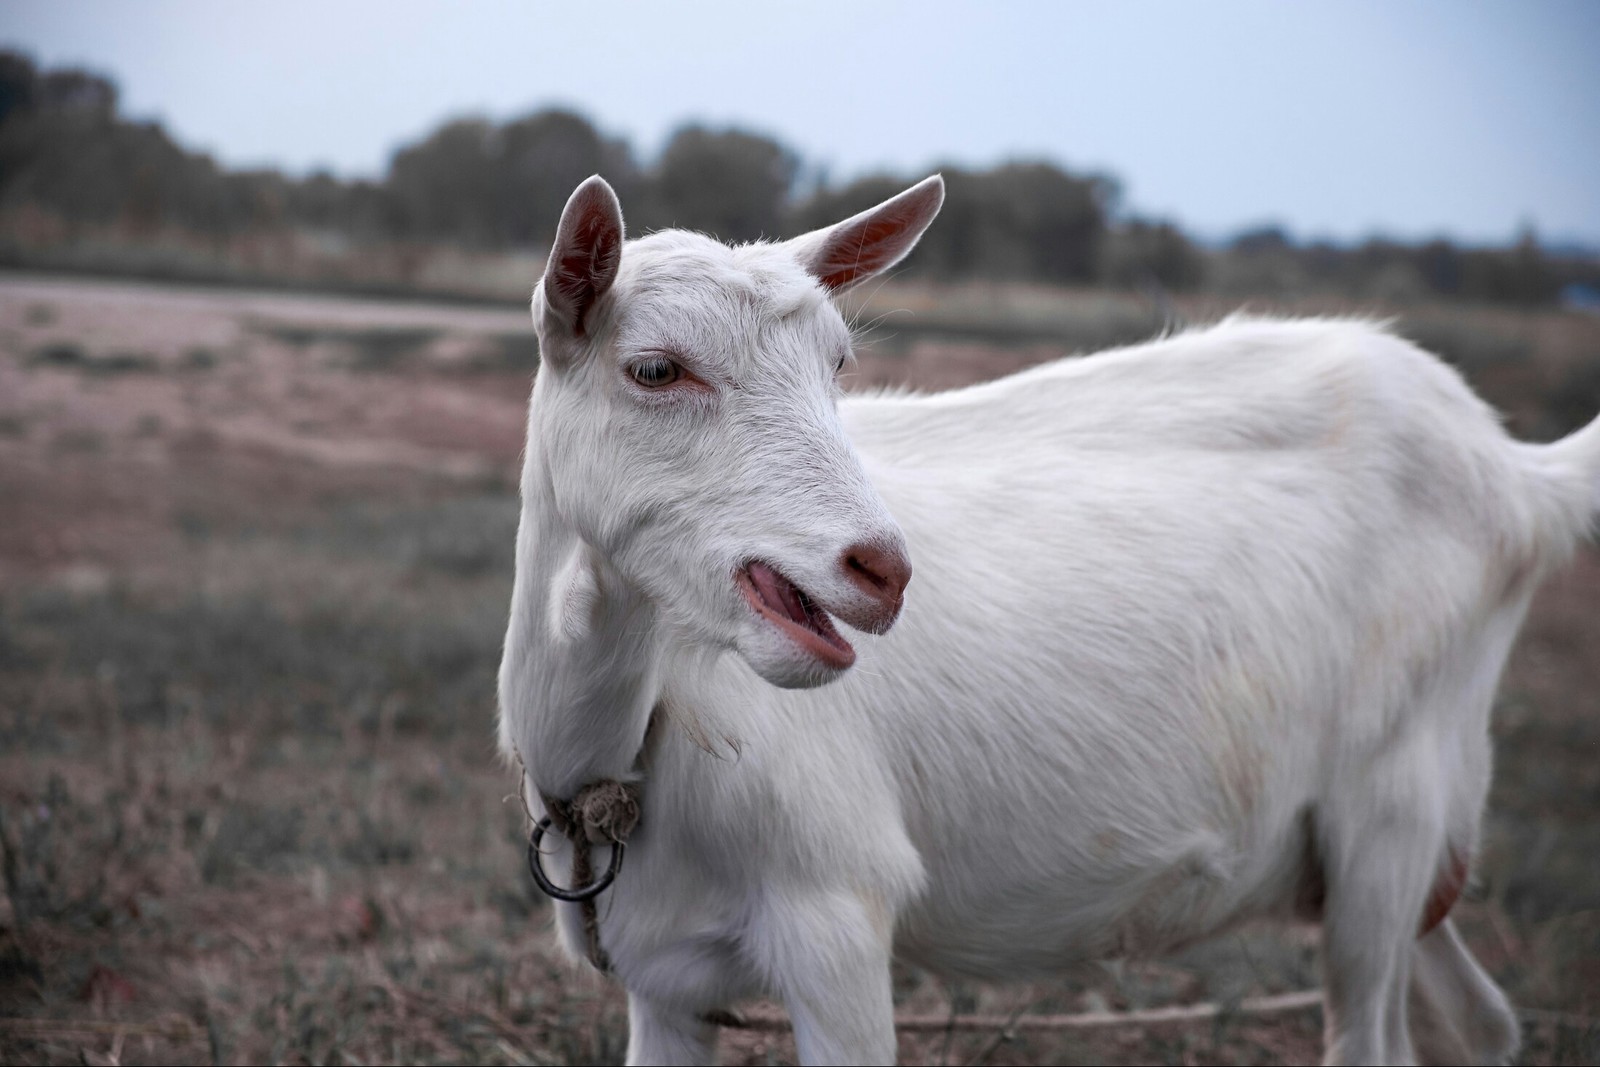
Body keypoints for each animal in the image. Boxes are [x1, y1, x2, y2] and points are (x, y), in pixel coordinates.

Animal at [499, 177, 1600, 1067]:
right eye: (654, 369)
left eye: (839, 364)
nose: (880, 567)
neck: (630, 737)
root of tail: (1516, 470)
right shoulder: (661, 977)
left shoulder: (835, 917)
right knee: (1476, 1021)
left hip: (1392, 801)